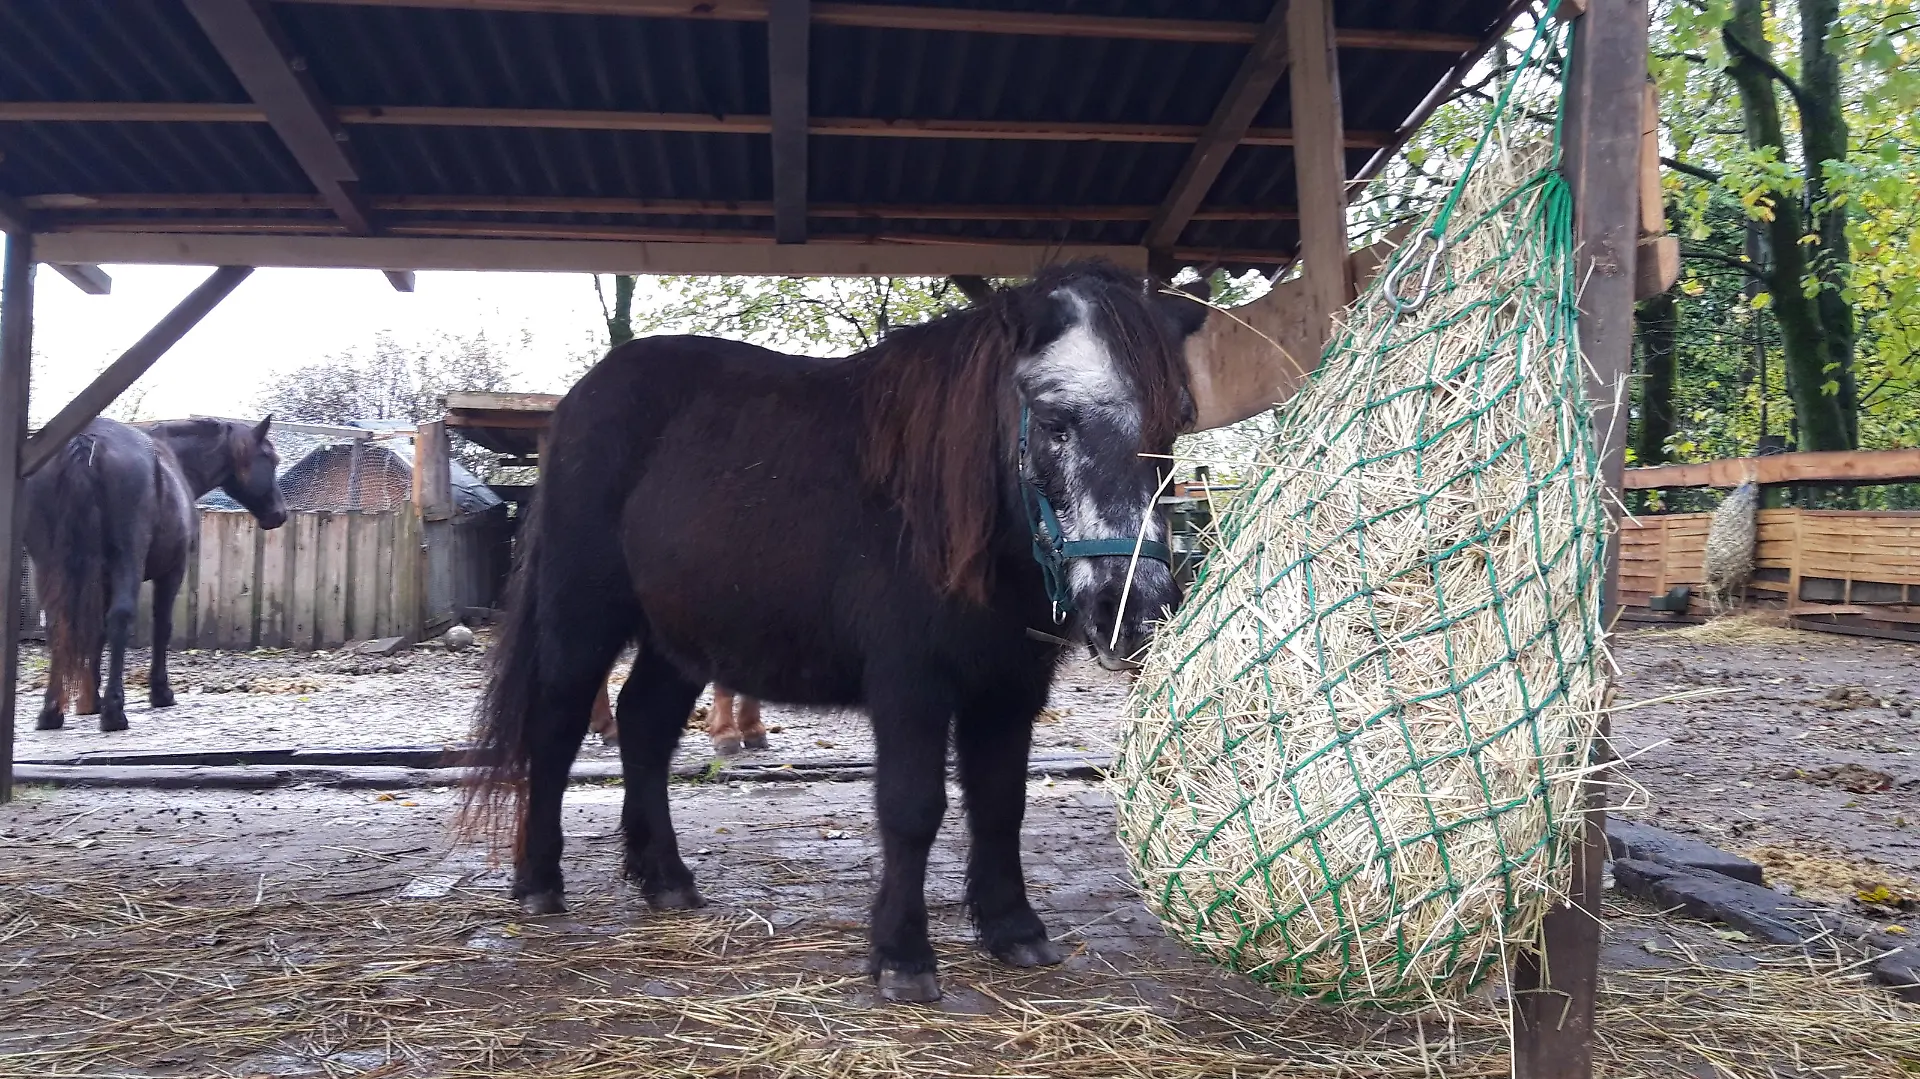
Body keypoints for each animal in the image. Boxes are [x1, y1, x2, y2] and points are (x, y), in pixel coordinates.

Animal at [24, 416, 289, 732]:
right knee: (119, 619)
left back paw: (51, 711)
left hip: (49, 565)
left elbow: (95, 632)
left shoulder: (100, 580)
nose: (279, 514)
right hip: (127, 559)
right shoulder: (172, 572)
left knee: (57, 624)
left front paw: (89, 701)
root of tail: (86, 441)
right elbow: (162, 627)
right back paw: (114, 713)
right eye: (270, 459)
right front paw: (160, 692)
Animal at [464, 260, 1208, 1002]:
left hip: (679, 638)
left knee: (644, 724)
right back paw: (539, 881)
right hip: (581, 617)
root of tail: (581, 397)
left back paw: (666, 879)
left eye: (1174, 425)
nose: (1133, 609)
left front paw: (1013, 928)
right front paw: (903, 956)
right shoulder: (911, 685)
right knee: (557, 728)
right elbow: (913, 808)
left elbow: (1002, 803)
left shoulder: (1009, 689)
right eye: (1055, 421)